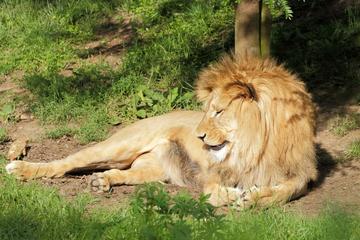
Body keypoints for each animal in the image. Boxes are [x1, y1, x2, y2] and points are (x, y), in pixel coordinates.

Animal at [5, 54, 316, 206]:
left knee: (122, 173)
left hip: (152, 169)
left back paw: (102, 181)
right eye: (208, 110)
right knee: (65, 163)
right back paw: (21, 169)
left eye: (218, 112)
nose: (199, 136)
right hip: (119, 146)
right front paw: (235, 196)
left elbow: (286, 191)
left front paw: (257, 197)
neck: (258, 145)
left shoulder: (299, 174)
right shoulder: (215, 175)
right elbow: (216, 193)